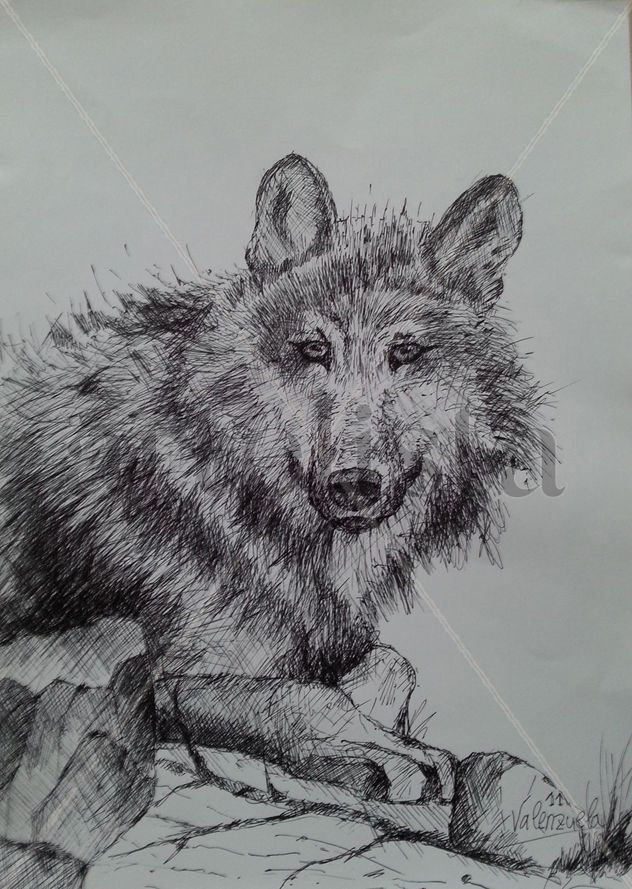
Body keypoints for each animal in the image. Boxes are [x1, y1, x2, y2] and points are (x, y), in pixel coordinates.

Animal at [0, 154, 544, 804]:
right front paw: (374, 750)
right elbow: (298, 695)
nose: (353, 483)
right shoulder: (152, 671)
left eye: (407, 352)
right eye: (313, 350)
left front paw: (382, 726)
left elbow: (391, 664)